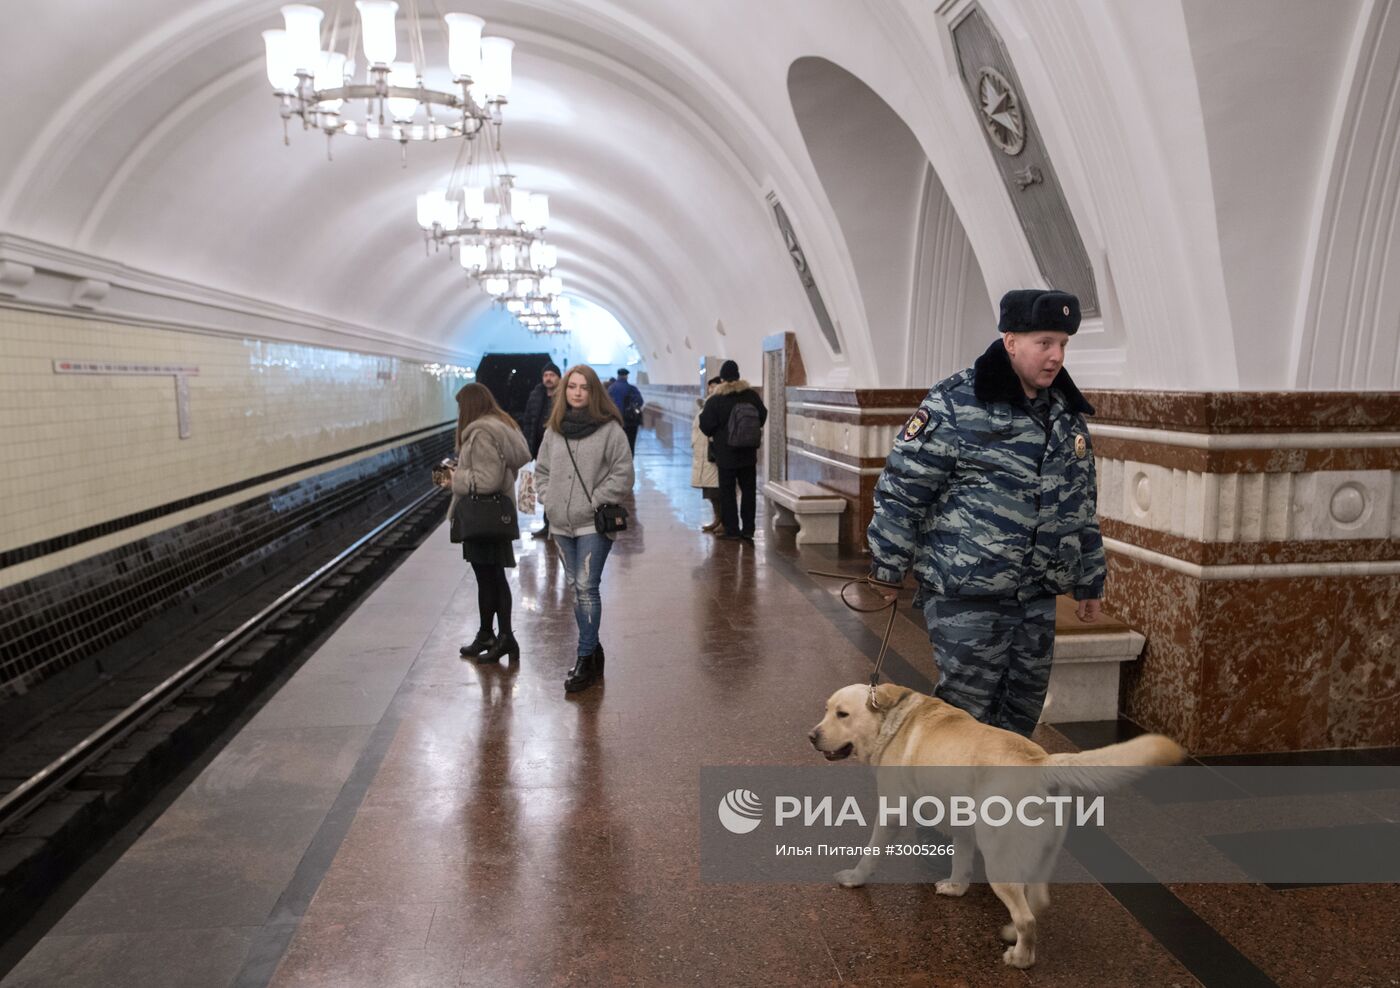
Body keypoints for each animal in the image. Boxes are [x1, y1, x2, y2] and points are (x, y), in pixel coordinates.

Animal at [812, 680, 1181, 968]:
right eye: (826, 709)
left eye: (842, 714)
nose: (810, 736)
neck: (892, 721)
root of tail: (1042, 763)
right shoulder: (963, 824)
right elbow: (961, 863)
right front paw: (956, 887)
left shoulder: (891, 811)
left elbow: (870, 854)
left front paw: (855, 878)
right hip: (1041, 854)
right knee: (1038, 901)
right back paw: (1010, 933)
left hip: (999, 861)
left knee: (1027, 917)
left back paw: (1020, 958)